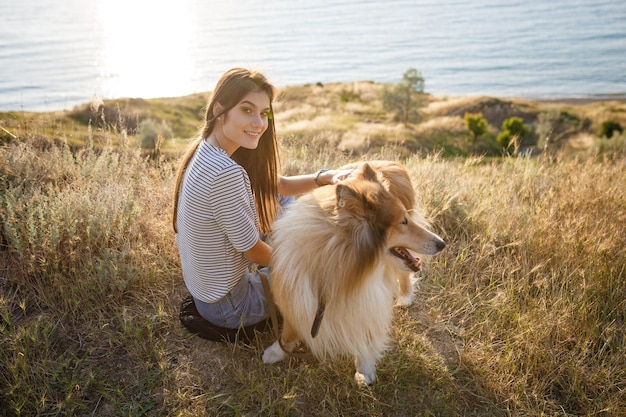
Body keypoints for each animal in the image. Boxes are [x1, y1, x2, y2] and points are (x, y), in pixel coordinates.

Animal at [262, 159, 444, 384]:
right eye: (403, 222)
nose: (442, 243)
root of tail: (388, 161)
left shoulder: (366, 300)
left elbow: (365, 333)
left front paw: (364, 370)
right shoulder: (296, 297)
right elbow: (288, 331)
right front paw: (276, 352)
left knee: (404, 273)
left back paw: (405, 297)